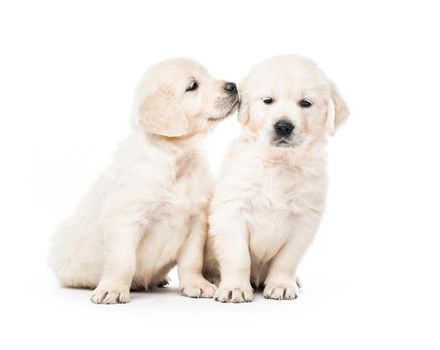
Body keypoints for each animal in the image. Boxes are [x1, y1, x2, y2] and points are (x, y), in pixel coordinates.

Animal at [49, 57, 239, 304]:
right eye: (192, 86)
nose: (233, 86)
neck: (175, 158)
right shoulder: (126, 219)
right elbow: (123, 261)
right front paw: (113, 288)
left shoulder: (196, 220)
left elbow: (191, 260)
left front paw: (196, 284)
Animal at [205, 55, 348, 304]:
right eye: (268, 101)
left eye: (306, 103)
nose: (283, 126)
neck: (279, 162)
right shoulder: (232, 211)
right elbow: (238, 256)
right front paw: (234, 288)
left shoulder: (304, 220)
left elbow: (286, 260)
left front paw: (281, 285)